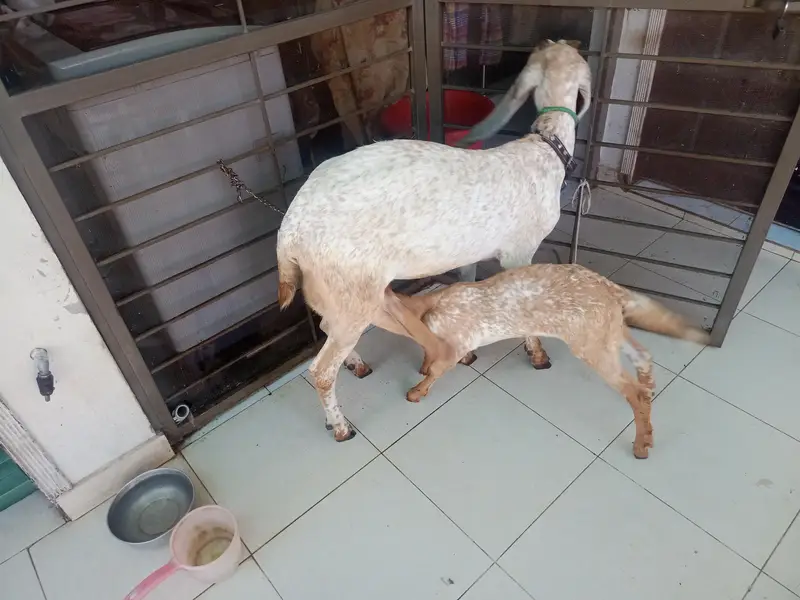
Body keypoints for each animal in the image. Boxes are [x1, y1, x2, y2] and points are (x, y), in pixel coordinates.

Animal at [276, 40, 591, 441]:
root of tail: (289, 236)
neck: (543, 150)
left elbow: (468, 281)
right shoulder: (520, 252)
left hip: (329, 293)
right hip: (352, 293)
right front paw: (538, 356)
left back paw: (358, 366)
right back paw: (341, 426)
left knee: (327, 330)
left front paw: (468, 352)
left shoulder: (470, 253)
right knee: (320, 370)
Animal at [396, 264, 710, 458]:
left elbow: (435, 370)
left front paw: (417, 390)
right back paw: (650, 421)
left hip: (593, 349)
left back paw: (641, 442)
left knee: (636, 393)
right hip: (612, 334)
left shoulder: (450, 349)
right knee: (644, 362)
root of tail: (609, 287)